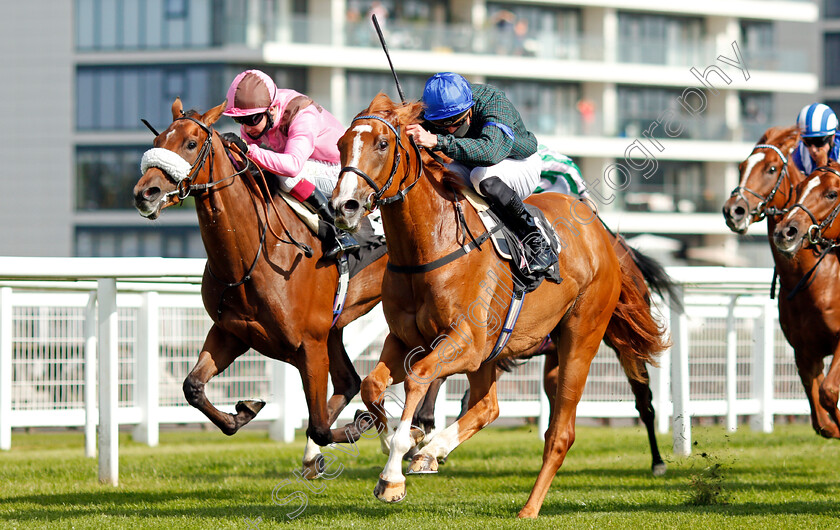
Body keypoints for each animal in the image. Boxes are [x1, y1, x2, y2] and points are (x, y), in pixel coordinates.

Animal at [133, 98, 388, 470]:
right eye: (158, 141)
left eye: (191, 143)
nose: (145, 193)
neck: (252, 254)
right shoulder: (233, 332)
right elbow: (192, 386)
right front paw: (243, 411)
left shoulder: (309, 345)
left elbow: (319, 426)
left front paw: (359, 425)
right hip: (335, 327)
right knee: (349, 382)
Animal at [330, 94, 668, 516]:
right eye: (341, 143)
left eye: (381, 144)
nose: (344, 205)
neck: (430, 245)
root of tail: (603, 235)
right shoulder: (407, 339)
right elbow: (372, 384)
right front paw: (402, 437)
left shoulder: (465, 342)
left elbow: (418, 378)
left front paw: (393, 474)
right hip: (499, 351)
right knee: (489, 405)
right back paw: (433, 449)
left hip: (580, 339)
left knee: (563, 432)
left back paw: (530, 507)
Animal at [720, 126, 840, 436]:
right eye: (741, 167)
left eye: (772, 169)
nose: (733, 210)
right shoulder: (804, 351)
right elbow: (821, 419)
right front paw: (832, 427)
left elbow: (829, 392)